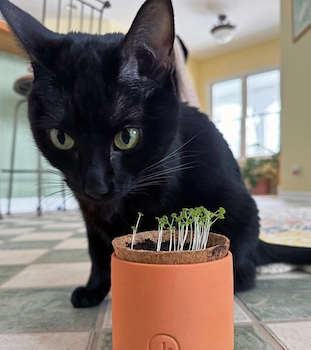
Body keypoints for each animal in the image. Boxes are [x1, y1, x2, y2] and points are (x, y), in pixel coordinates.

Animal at [1, 0, 310, 308]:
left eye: (127, 137)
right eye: (61, 138)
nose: (96, 186)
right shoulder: (89, 212)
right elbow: (97, 252)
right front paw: (94, 289)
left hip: (241, 210)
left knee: (246, 273)